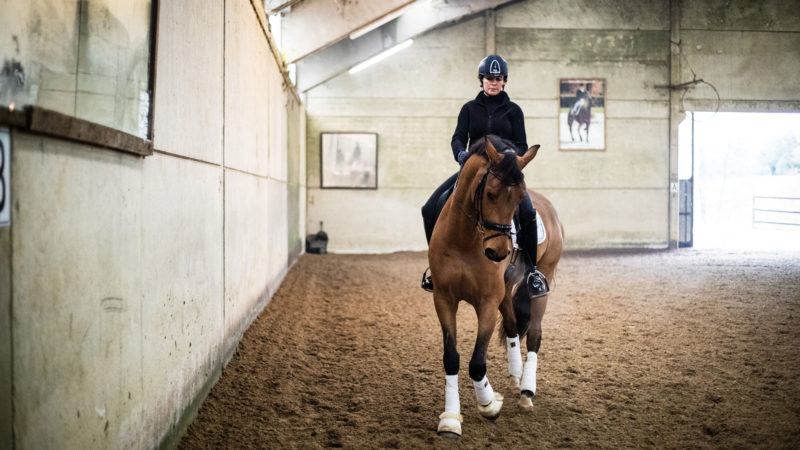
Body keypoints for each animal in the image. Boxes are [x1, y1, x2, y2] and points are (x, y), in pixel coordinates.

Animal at [428, 135, 564, 438]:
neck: (465, 239)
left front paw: (489, 404)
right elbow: (451, 357)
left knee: (534, 333)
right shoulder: (443, 299)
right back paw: (515, 376)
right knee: (513, 326)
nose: (499, 252)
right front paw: (450, 419)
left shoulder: (487, 303)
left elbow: (477, 362)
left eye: (519, 198)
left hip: (544, 277)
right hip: (505, 290)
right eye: (490, 194)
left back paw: (526, 391)